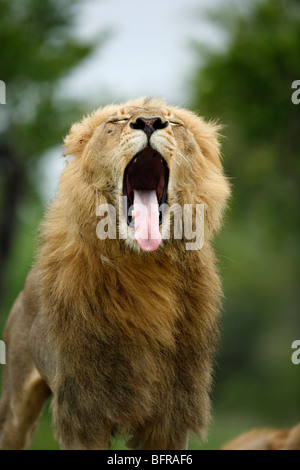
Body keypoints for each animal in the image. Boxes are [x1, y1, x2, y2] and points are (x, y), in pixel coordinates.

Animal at [0, 97, 230, 450]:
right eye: (117, 121)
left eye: (174, 122)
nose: (149, 122)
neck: (145, 271)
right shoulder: (84, 412)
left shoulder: (172, 415)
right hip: (15, 407)